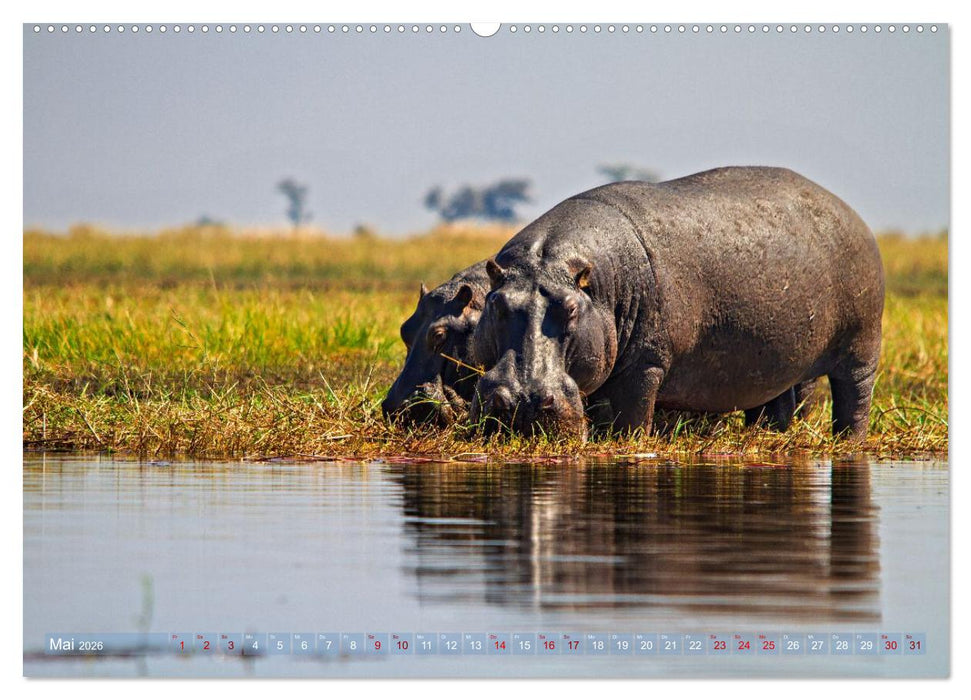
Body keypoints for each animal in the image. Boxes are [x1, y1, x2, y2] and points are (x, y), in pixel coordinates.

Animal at [469, 166, 884, 440]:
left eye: (570, 309)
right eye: (496, 304)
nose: (522, 399)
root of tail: (848, 210)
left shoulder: (646, 366)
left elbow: (631, 421)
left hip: (861, 345)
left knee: (854, 397)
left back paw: (848, 442)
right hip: (778, 360)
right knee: (777, 404)